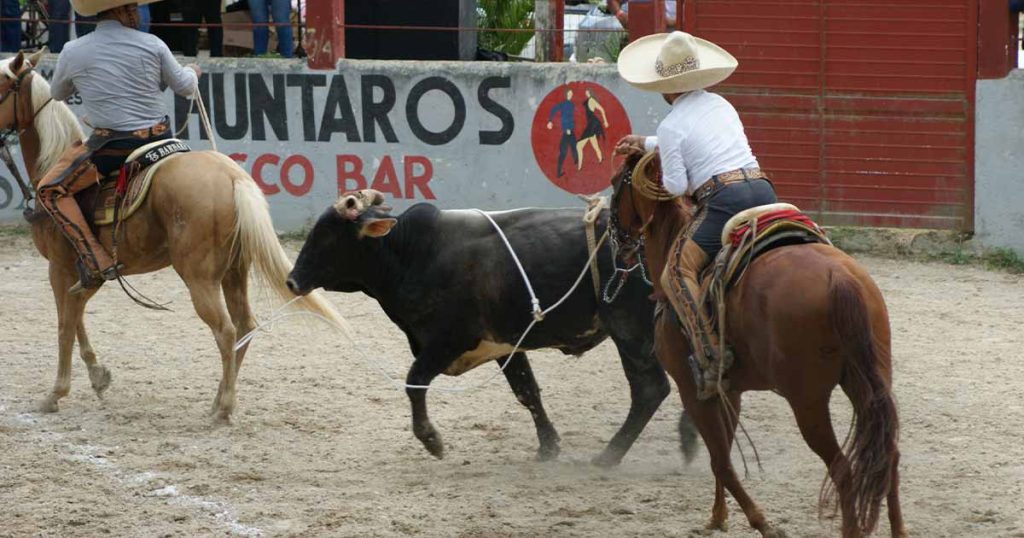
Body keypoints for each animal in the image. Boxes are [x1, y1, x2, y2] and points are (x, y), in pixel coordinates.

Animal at [0, 50, 344, 420]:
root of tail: (232, 177)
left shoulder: (60, 267)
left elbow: (65, 324)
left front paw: (56, 393)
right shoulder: (87, 274)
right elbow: (75, 317)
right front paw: (98, 375)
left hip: (199, 277)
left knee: (225, 330)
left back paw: (223, 408)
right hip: (234, 272)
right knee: (244, 325)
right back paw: (219, 399)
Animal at [290, 198, 696, 463]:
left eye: (327, 237)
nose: (292, 280)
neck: (413, 253)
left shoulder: (449, 340)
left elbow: (414, 381)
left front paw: (432, 440)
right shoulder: (505, 347)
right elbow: (527, 392)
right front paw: (548, 447)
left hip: (631, 330)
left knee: (650, 389)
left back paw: (609, 456)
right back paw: (689, 438)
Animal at [606, 150, 905, 536]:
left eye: (616, 182)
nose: (616, 240)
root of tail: (840, 279)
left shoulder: (692, 388)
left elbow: (720, 460)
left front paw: (762, 523)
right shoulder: (729, 390)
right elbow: (722, 454)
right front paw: (718, 517)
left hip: (808, 401)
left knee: (842, 469)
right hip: (869, 380)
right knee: (889, 456)